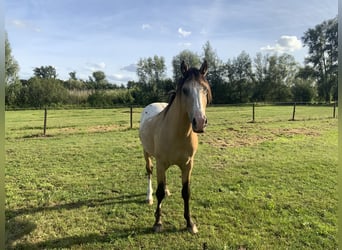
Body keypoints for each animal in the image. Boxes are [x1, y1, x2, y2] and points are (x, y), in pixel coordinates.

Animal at [138, 60, 211, 234]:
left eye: (205, 89)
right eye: (185, 90)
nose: (200, 122)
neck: (178, 133)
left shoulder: (188, 165)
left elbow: (186, 192)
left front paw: (190, 223)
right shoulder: (161, 163)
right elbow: (159, 193)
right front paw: (157, 223)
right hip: (147, 154)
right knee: (149, 172)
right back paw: (148, 197)